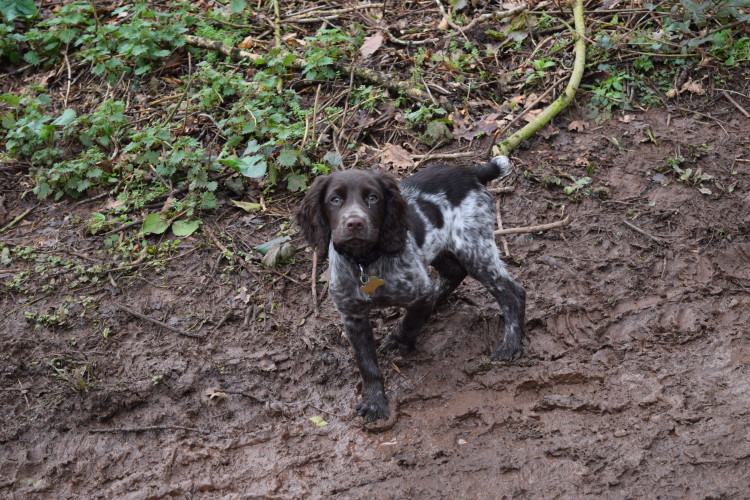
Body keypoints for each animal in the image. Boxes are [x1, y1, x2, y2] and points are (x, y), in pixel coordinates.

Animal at [296, 157, 524, 422]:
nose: (354, 223)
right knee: (455, 273)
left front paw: (399, 341)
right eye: (335, 199)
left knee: (512, 292)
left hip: (473, 248)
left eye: (373, 197)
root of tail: (470, 172)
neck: (365, 261)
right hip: (442, 247)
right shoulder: (352, 316)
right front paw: (374, 401)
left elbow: (411, 321)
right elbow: (367, 365)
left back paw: (511, 344)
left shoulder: (418, 292)